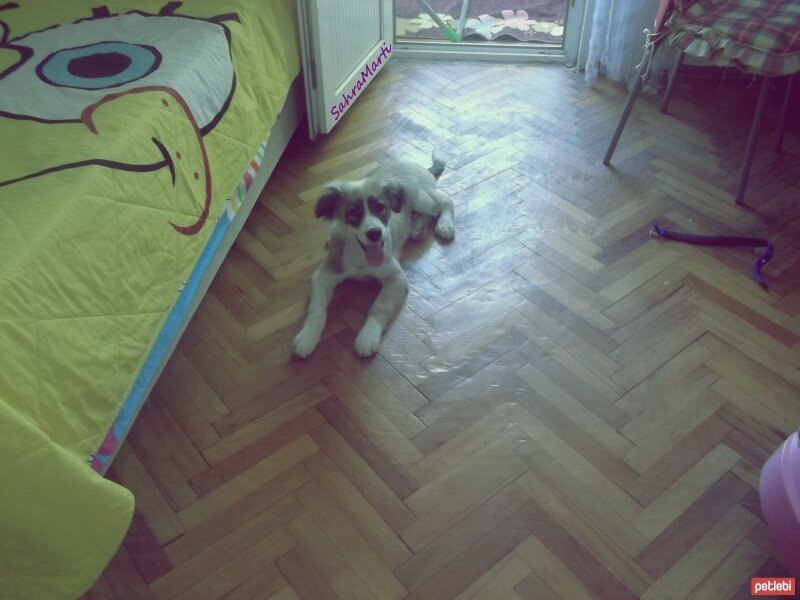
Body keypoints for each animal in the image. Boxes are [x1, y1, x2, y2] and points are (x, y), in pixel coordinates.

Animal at [294, 152, 456, 358]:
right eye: (353, 213)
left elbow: (379, 307)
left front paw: (368, 336)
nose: (375, 234)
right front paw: (307, 337)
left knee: (444, 201)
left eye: (380, 207)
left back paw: (444, 225)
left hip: (419, 197)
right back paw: (417, 228)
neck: (360, 257)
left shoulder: (396, 278)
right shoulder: (324, 276)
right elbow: (316, 311)